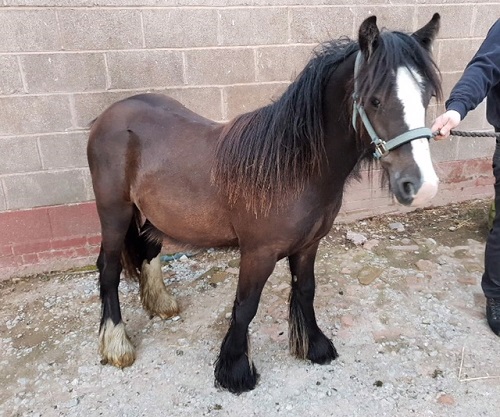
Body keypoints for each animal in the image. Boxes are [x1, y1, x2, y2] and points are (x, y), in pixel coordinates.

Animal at [87, 14, 442, 393]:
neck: (293, 168)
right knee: (108, 269)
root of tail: (109, 115)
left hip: (155, 215)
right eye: (375, 100)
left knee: (149, 250)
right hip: (114, 213)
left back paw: (161, 303)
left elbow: (305, 291)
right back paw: (117, 344)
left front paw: (313, 346)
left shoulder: (309, 245)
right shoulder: (258, 252)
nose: (421, 186)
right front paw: (235, 370)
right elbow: (246, 306)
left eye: (426, 96)